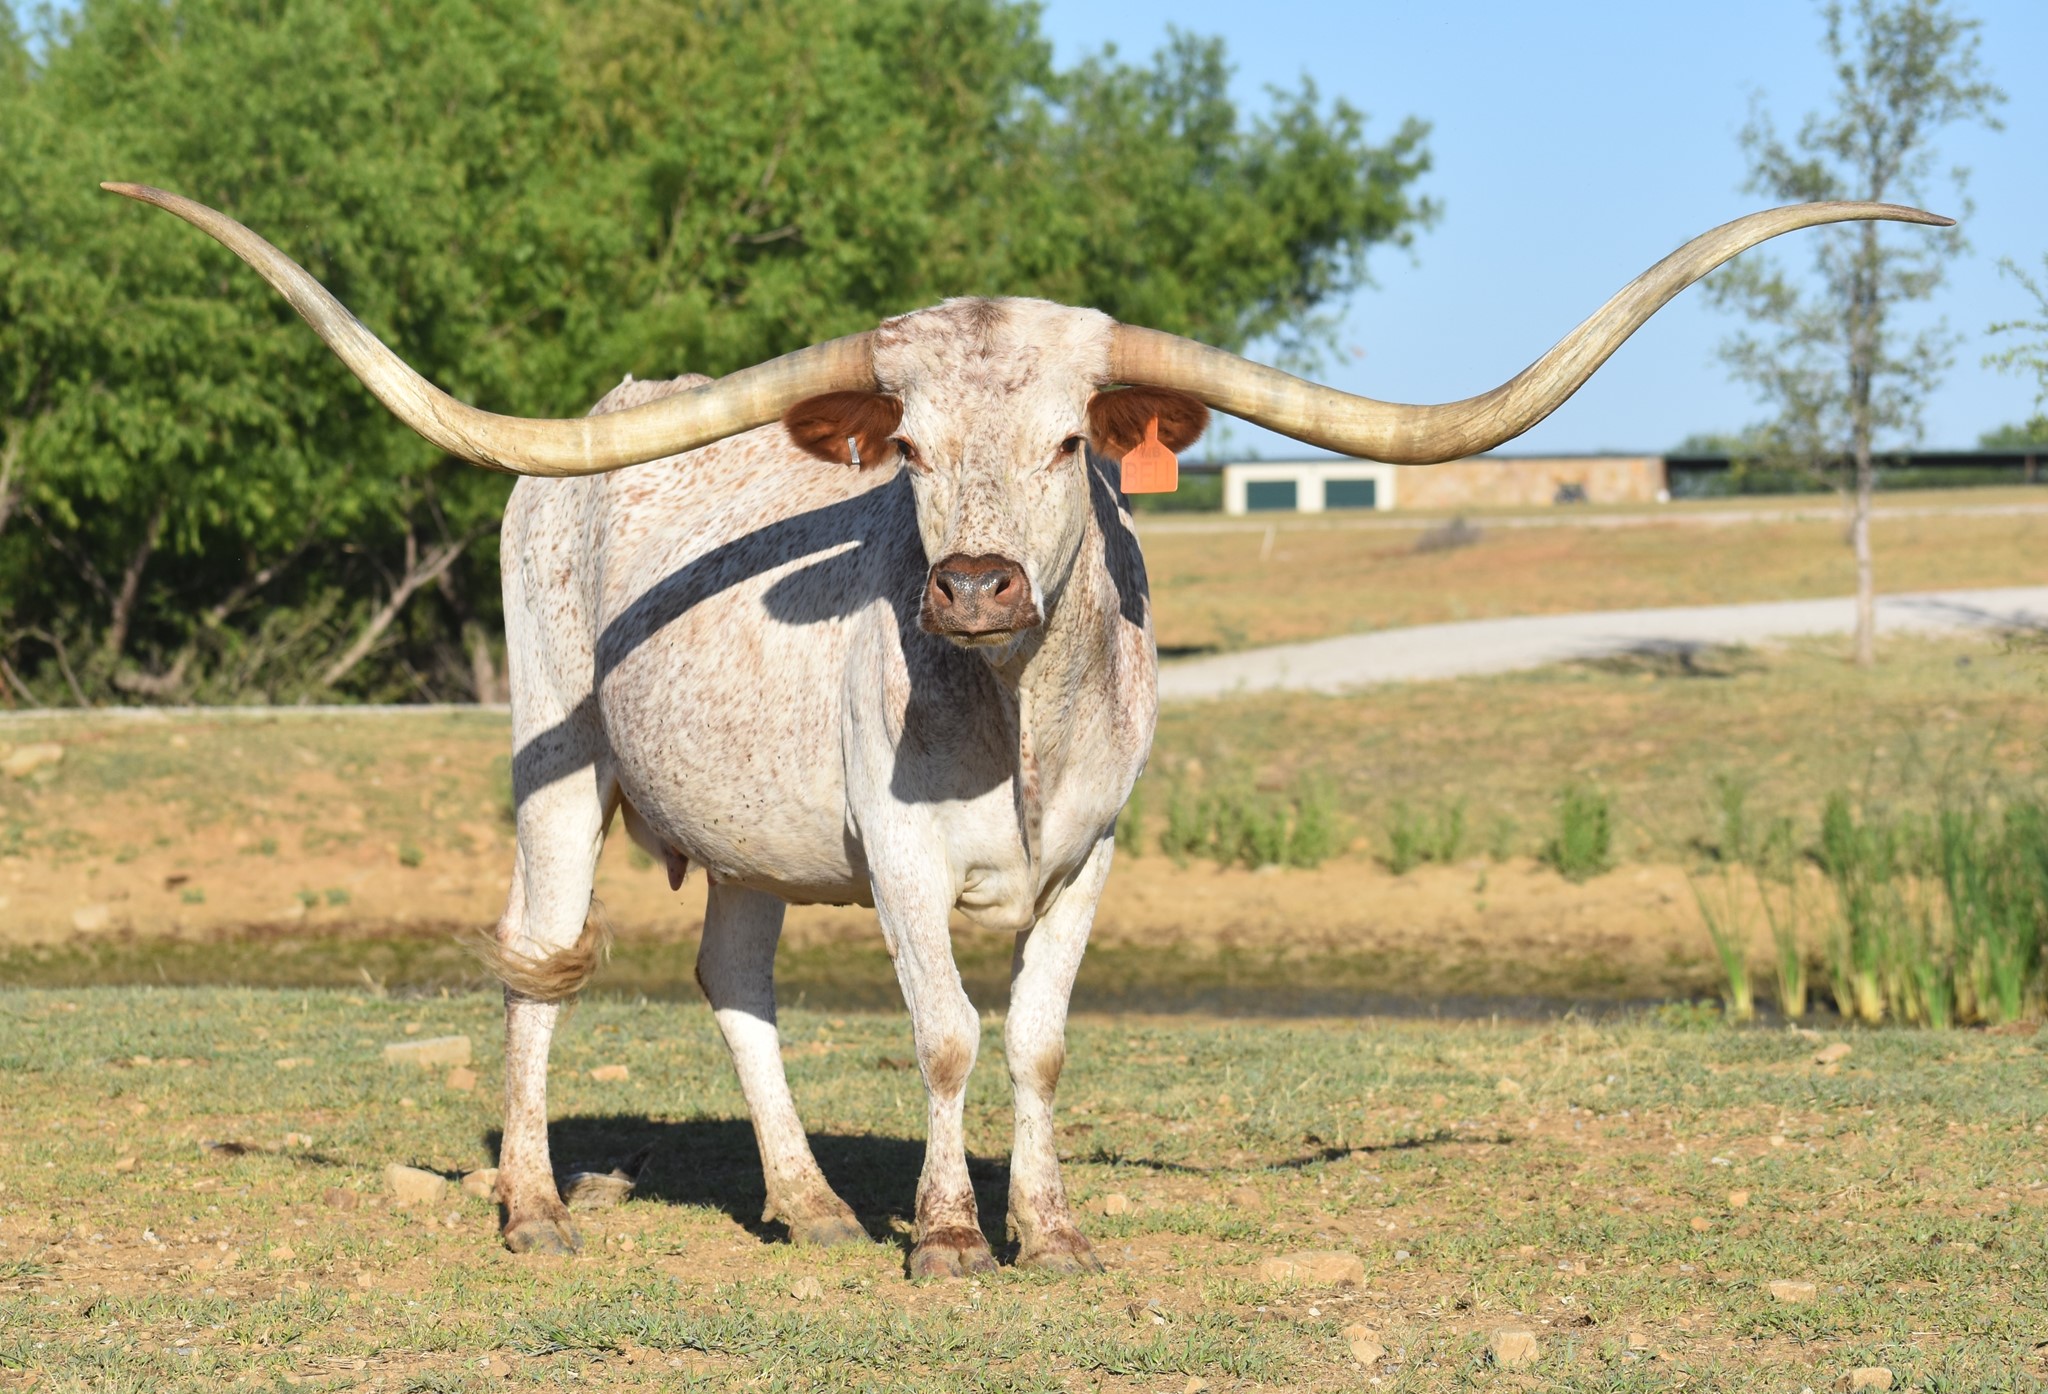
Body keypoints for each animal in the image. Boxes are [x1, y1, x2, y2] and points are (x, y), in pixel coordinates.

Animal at [106, 184, 1946, 1276]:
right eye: (909, 449)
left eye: (1073, 440)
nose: (978, 582)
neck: (1010, 724)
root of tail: (604, 422)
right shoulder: (902, 855)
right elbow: (940, 1036)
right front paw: (938, 1233)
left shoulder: (1095, 852)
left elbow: (1042, 1039)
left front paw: (1043, 1229)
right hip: (556, 756)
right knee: (539, 956)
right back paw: (536, 1200)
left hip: (754, 830)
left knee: (732, 970)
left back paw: (799, 1199)